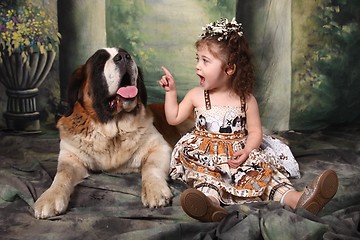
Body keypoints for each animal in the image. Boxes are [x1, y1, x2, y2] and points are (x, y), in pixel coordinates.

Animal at [33, 47, 174, 219]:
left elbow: (151, 167)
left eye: (126, 54)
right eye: (100, 62)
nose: (124, 57)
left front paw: (154, 189)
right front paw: (50, 197)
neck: (113, 130)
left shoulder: (160, 147)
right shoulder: (70, 156)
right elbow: (62, 174)